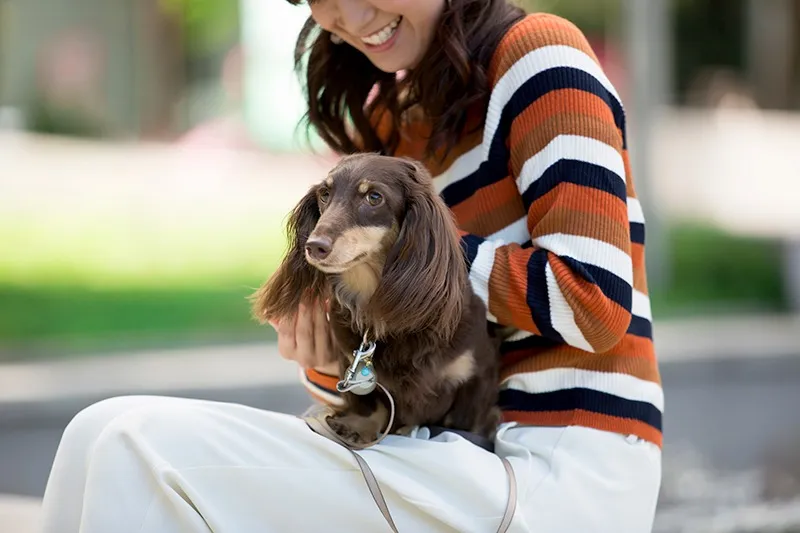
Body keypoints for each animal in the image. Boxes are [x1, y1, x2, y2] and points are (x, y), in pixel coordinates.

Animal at [253, 152, 500, 442]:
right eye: (325, 194)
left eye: (374, 197)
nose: (314, 247)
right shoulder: (351, 364)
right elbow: (371, 404)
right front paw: (358, 425)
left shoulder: (476, 378)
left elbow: (464, 425)